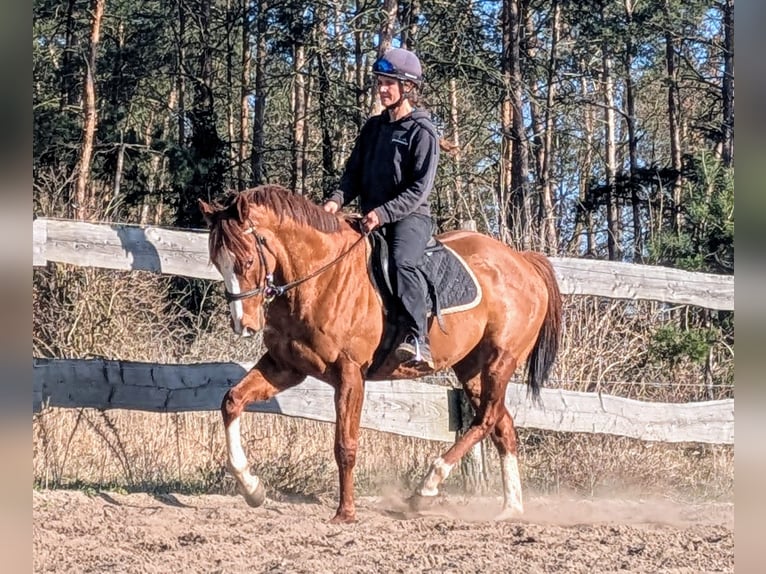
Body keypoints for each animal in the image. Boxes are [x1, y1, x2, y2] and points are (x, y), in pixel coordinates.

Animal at [200, 186, 564, 528]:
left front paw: (345, 513)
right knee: (503, 425)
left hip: (499, 361)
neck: (320, 278)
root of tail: (522, 261)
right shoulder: (285, 367)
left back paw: (426, 488)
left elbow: (345, 445)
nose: (243, 325)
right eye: (217, 263)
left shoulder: (349, 374)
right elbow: (232, 401)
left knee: (486, 419)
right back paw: (510, 508)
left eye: (247, 261)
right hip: (472, 368)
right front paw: (252, 488)